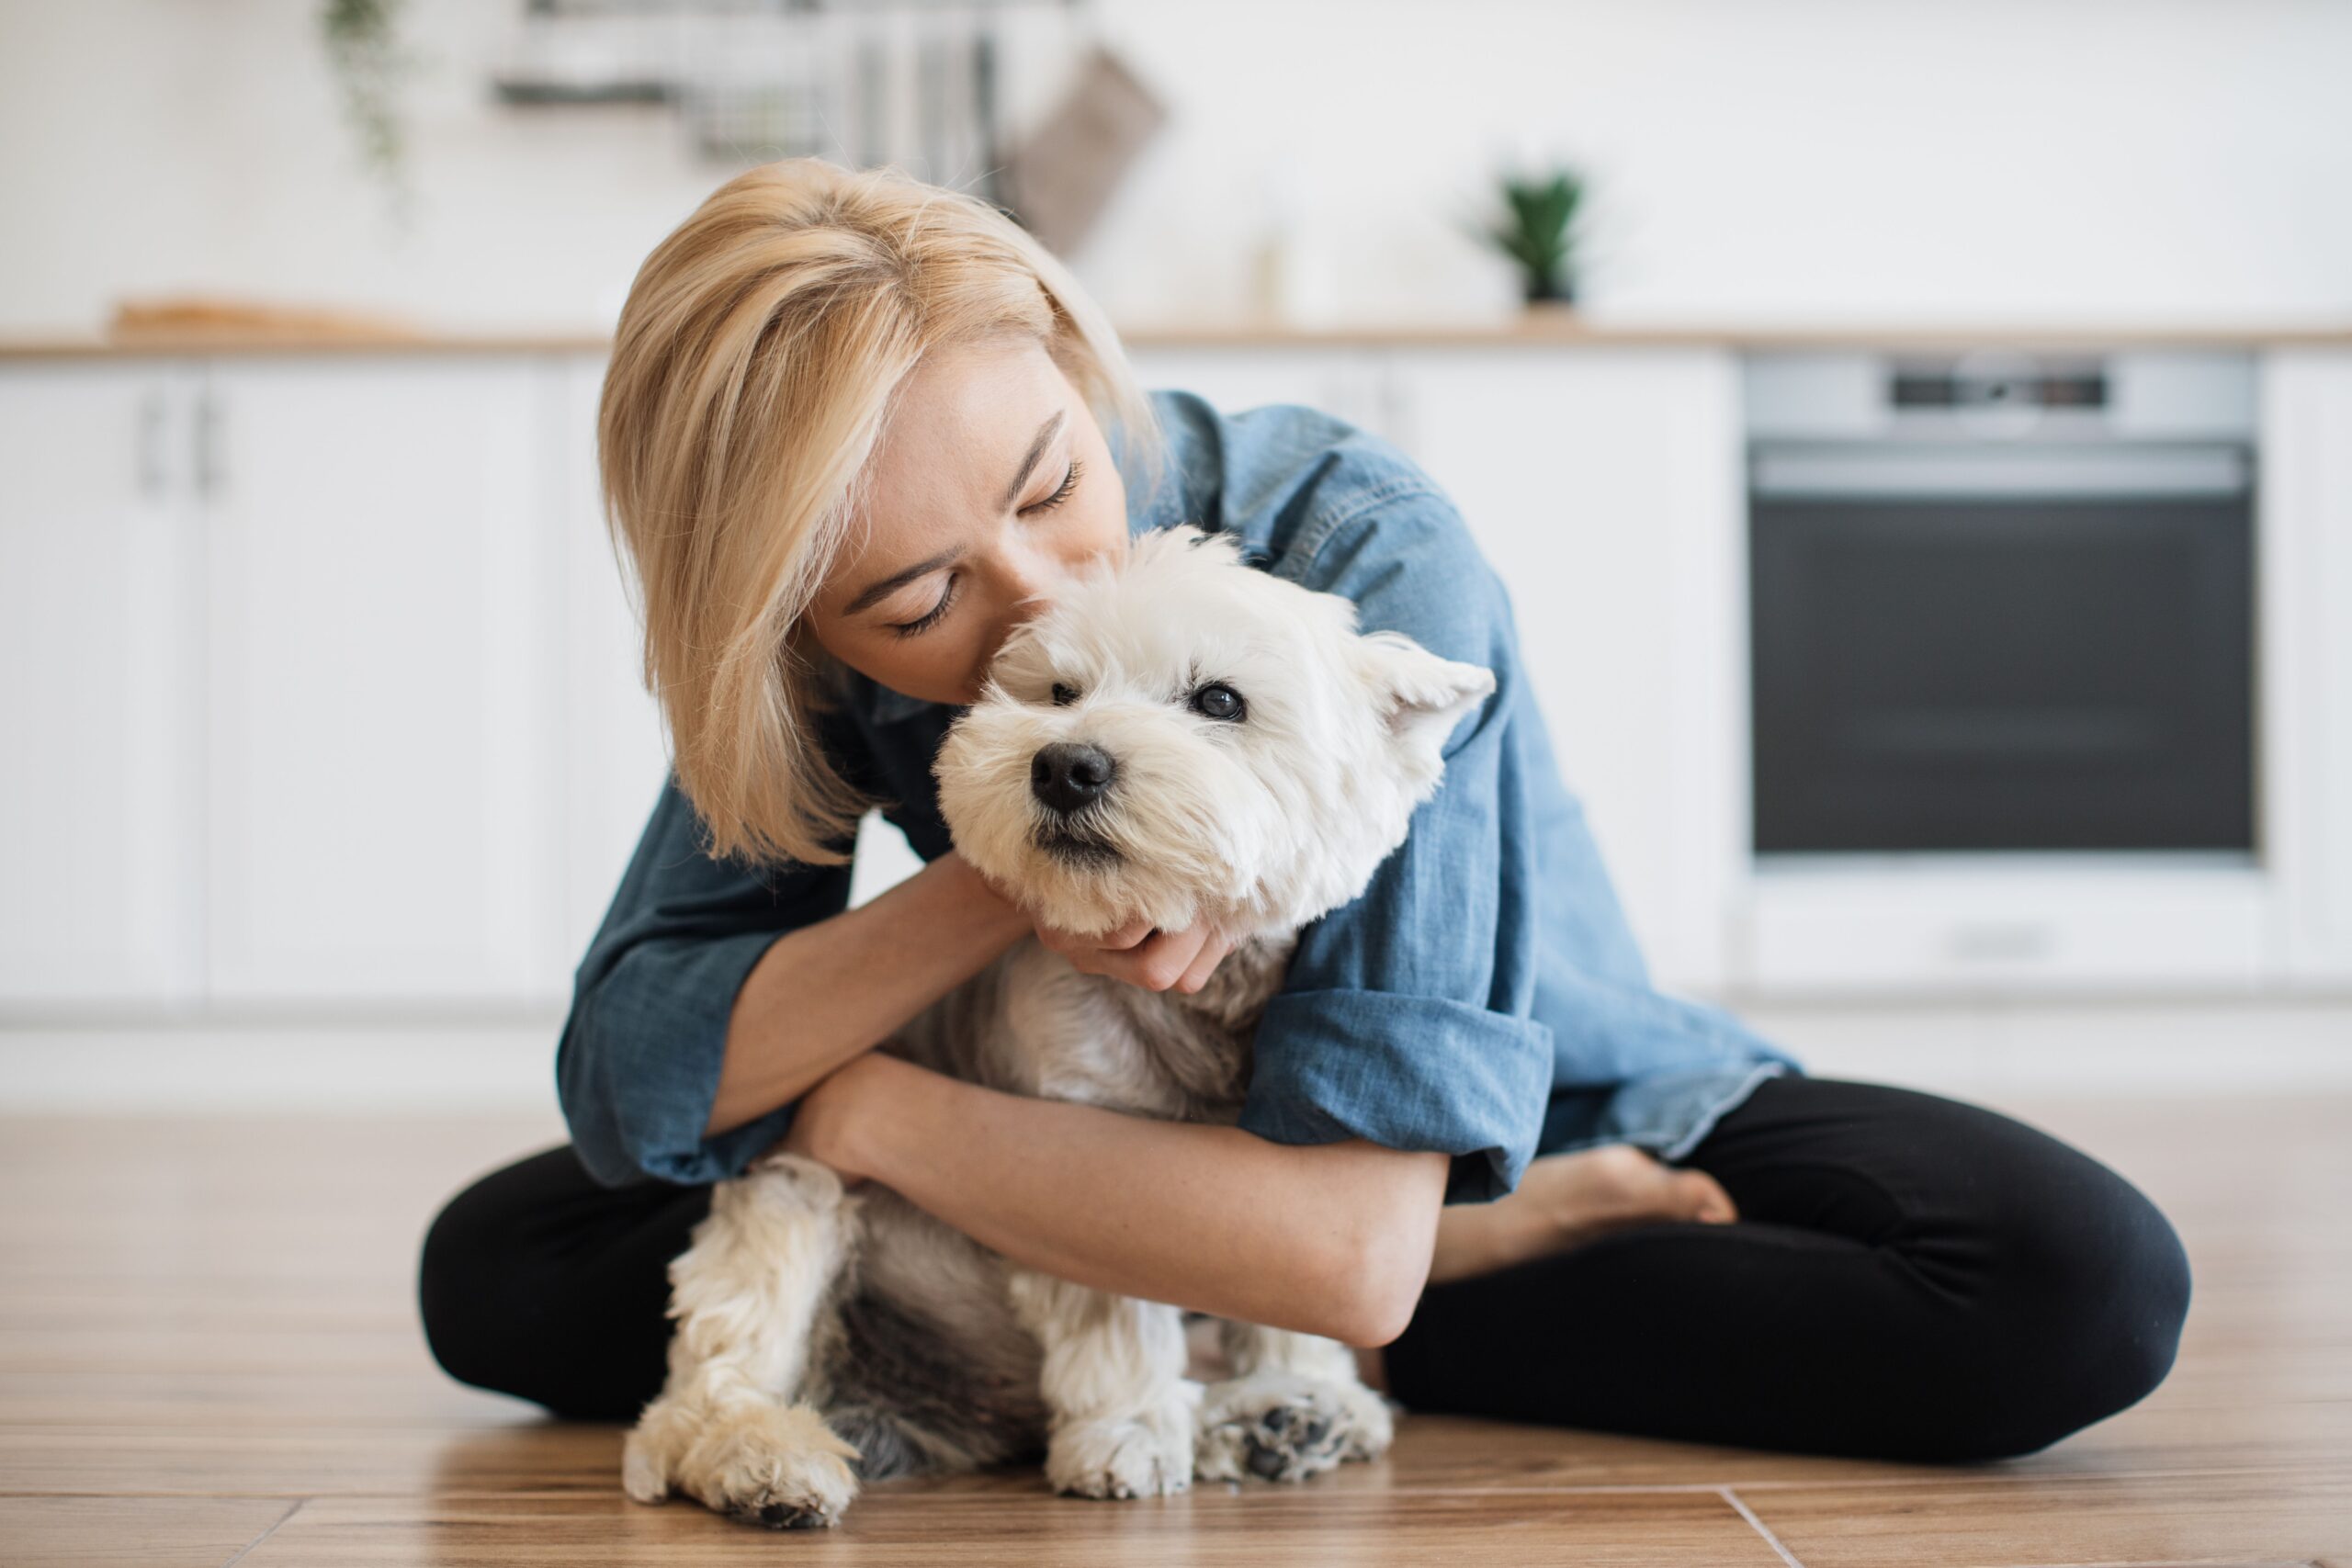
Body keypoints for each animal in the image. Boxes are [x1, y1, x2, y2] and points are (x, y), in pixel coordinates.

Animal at [625, 522, 1486, 1523]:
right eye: (1061, 691)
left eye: (1220, 700)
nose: (1065, 765)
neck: (1193, 1010)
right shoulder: (1083, 1145)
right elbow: (1116, 1315)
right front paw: (1126, 1435)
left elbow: (1293, 1301)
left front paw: (1298, 1388)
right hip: (792, 1202)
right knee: (703, 1387)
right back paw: (766, 1460)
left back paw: (1270, 1420)